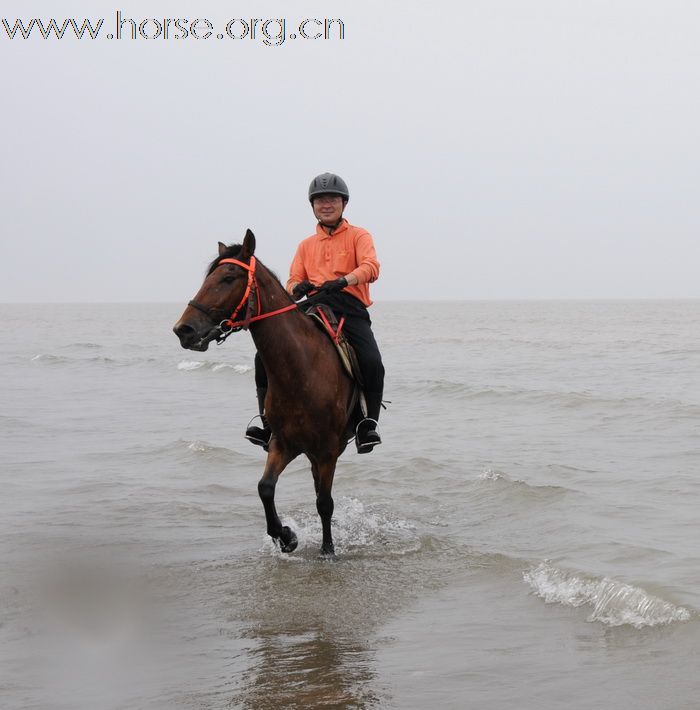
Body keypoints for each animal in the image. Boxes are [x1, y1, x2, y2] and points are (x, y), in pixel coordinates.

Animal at [173, 231, 358, 560]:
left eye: (228, 278)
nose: (184, 330)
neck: (302, 369)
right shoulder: (282, 444)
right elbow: (265, 488)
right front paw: (286, 537)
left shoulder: (327, 449)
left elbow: (324, 503)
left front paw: (327, 550)